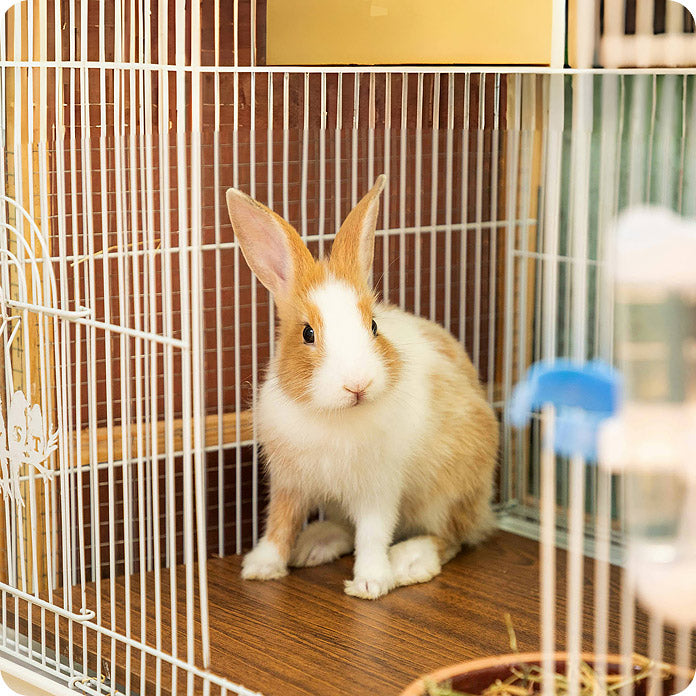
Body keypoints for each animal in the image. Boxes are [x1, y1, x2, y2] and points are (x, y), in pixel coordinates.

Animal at [225, 175, 499, 599]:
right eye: (307, 333)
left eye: (373, 326)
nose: (358, 384)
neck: (333, 414)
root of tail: (484, 508)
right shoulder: (290, 483)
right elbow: (280, 522)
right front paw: (261, 568)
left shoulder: (378, 488)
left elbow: (373, 534)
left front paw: (371, 583)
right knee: (344, 527)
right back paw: (313, 545)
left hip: (448, 493)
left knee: (450, 537)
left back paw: (408, 561)